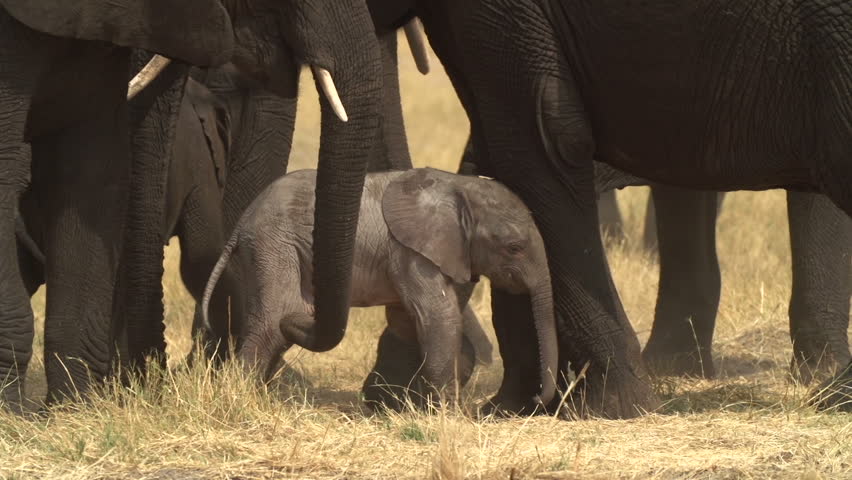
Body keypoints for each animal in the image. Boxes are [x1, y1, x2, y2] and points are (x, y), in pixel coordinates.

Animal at [200, 168, 560, 408]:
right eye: (514, 248)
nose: (536, 399)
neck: (460, 186)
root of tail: (241, 223)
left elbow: (407, 319)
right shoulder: (410, 252)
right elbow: (437, 315)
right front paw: (450, 412)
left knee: (281, 326)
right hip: (274, 246)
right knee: (273, 322)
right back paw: (241, 399)